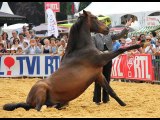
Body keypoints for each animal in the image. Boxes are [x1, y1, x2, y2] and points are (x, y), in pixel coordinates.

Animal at [2, 10, 144, 111]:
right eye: (95, 18)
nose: (107, 29)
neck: (81, 49)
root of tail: (27, 101)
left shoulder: (98, 75)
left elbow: (111, 91)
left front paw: (124, 104)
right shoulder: (102, 58)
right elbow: (120, 50)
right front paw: (139, 44)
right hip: (41, 89)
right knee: (37, 109)